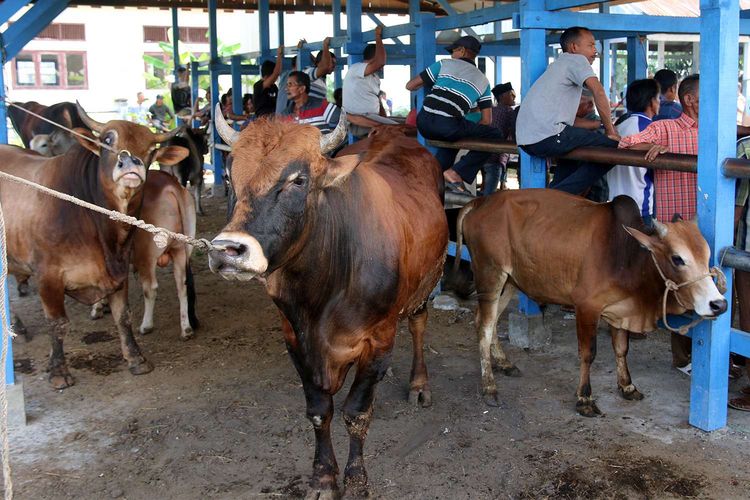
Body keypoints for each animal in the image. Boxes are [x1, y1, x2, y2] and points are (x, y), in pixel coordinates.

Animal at [0, 103, 188, 388]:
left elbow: (123, 315)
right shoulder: (48, 275)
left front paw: (136, 359)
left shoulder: (119, 269)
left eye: (151, 149)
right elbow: (57, 322)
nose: (131, 163)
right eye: (108, 139)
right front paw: (59, 371)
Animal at [209, 111, 450, 498]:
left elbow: (357, 412)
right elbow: (320, 410)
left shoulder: (378, 339)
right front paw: (323, 478)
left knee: (417, 323)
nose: (227, 250)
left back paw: (418, 384)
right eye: (230, 177)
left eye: (299, 179)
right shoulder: (295, 339)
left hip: (425, 283)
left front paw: (356, 479)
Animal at [456, 189, 732, 416]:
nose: (718, 304)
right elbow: (588, 354)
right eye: (677, 258)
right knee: (484, 327)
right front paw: (585, 399)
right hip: (490, 275)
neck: (627, 255)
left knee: (488, 321)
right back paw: (489, 387)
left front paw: (627, 386)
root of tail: (480, 201)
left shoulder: (621, 311)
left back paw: (505, 363)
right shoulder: (586, 307)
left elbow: (621, 349)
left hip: (510, 281)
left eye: (707, 255)